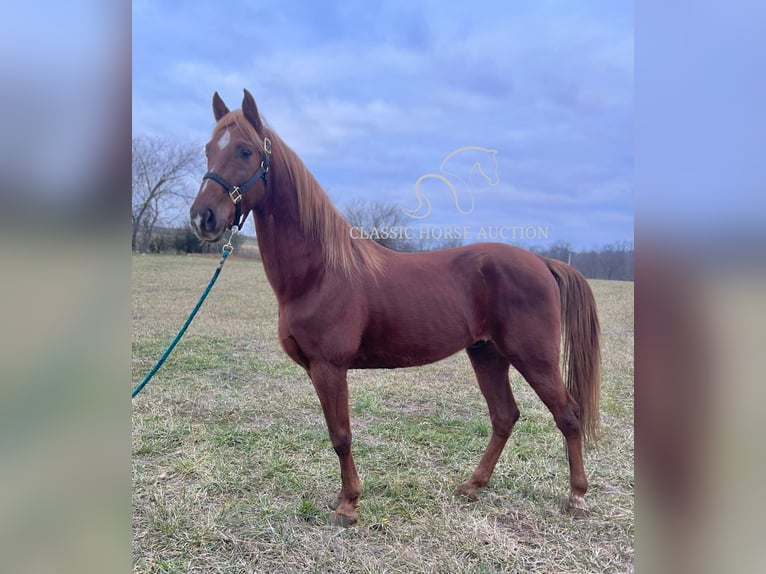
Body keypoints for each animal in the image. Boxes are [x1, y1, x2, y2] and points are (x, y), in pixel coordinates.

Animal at [189, 89, 604, 528]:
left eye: (245, 151)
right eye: (208, 150)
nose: (203, 217)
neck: (320, 271)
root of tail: (542, 262)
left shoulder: (329, 367)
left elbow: (341, 436)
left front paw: (348, 504)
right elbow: (338, 434)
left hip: (533, 357)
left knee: (568, 415)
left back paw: (576, 497)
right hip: (488, 354)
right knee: (504, 416)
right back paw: (472, 486)